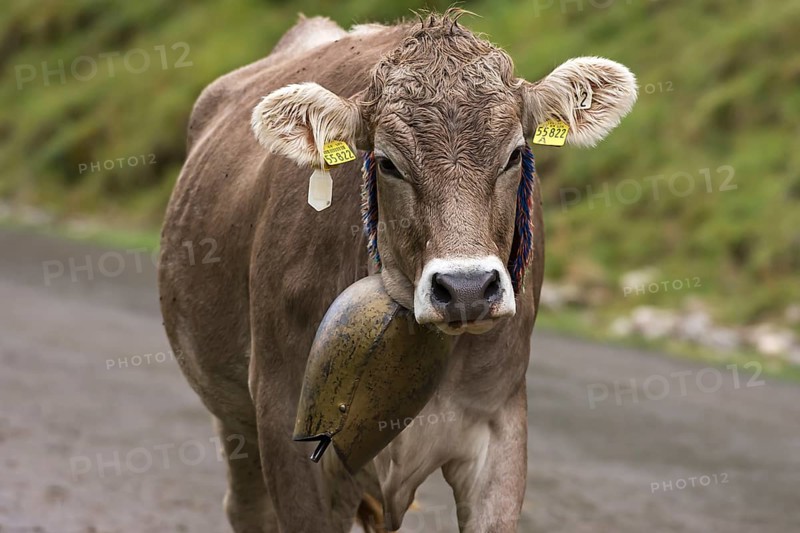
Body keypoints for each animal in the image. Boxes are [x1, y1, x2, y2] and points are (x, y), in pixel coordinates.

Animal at [158, 10, 636, 533]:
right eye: (388, 164)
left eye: (514, 155)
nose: (467, 288)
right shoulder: (285, 422)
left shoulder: (500, 425)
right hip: (236, 417)